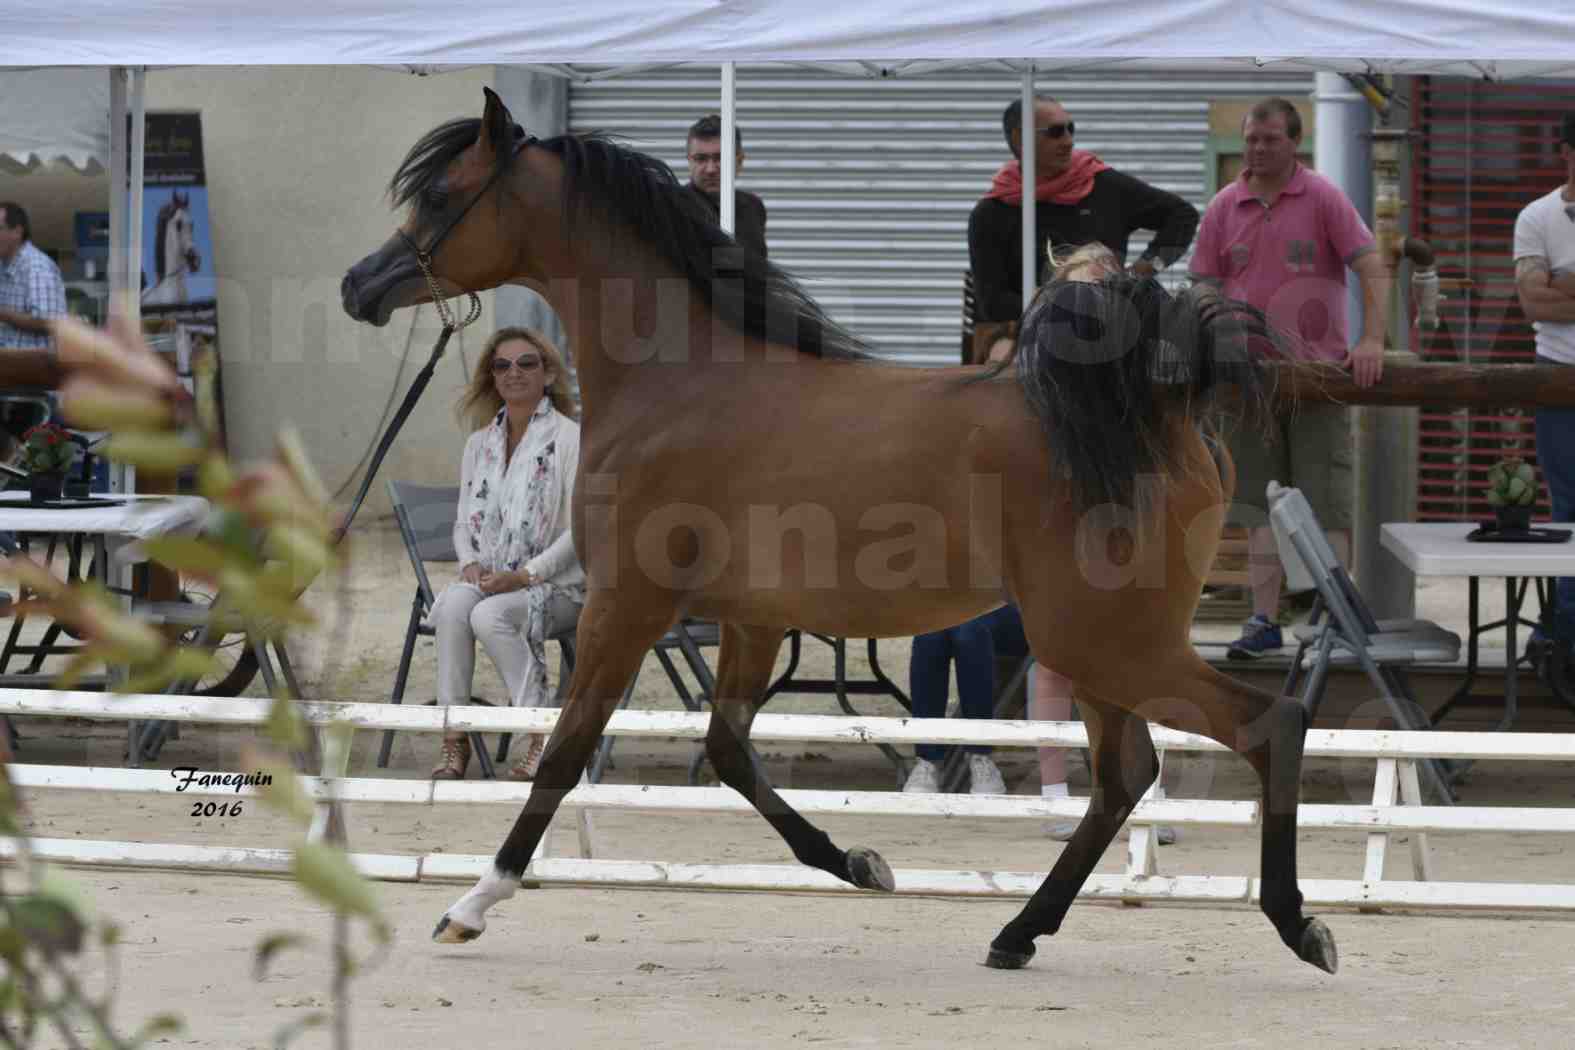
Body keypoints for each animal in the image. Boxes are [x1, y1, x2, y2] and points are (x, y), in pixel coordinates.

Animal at [338, 90, 1335, 976]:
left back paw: (1298, 927)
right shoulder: (748, 619)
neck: (680, 382)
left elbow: (567, 748)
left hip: (1100, 640)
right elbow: (726, 752)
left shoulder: (626, 606)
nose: (358, 285)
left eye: (441, 195)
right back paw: (1017, 934)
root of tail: (1162, 412)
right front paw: (858, 863)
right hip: (1097, 648)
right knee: (1125, 775)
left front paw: (472, 903)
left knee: (1262, 724)